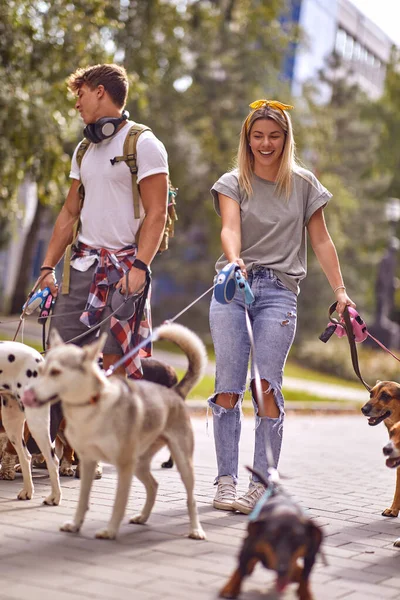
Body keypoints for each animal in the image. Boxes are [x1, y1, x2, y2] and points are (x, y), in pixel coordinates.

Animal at [0, 340, 61, 504]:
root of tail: (40, 359)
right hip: (12, 424)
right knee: (25, 456)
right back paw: (27, 491)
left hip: (36, 424)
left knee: (53, 461)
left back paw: (54, 497)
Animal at [22, 326, 208, 540]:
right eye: (41, 371)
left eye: (55, 372)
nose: (27, 394)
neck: (92, 408)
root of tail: (174, 392)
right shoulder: (88, 461)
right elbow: (82, 499)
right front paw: (76, 524)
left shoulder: (124, 466)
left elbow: (119, 503)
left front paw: (110, 530)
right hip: (139, 463)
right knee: (153, 486)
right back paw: (143, 517)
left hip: (182, 462)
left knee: (190, 498)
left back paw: (196, 530)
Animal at [220, 468, 324, 600]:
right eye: (272, 537)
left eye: (297, 540)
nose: (283, 569)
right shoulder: (248, 545)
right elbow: (240, 568)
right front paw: (230, 588)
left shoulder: (310, 555)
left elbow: (305, 576)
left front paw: (306, 594)